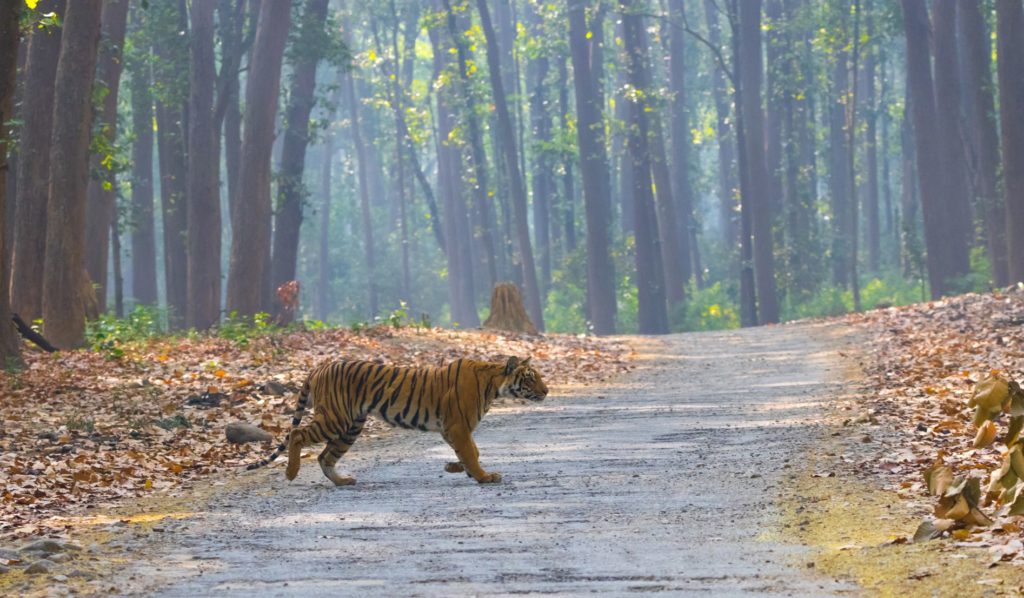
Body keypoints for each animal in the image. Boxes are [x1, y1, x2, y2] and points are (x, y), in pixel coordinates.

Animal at [247, 358, 548, 483]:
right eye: (531, 377)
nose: (546, 391)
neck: (494, 384)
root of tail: (320, 366)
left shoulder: (454, 429)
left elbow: (472, 451)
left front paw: (455, 468)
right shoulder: (457, 426)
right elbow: (472, 453)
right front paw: (484, 477)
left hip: (352, 426)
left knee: (324, 457)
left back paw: (344, 481)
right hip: (335, 418)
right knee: (297, 435)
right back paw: (291, 472)